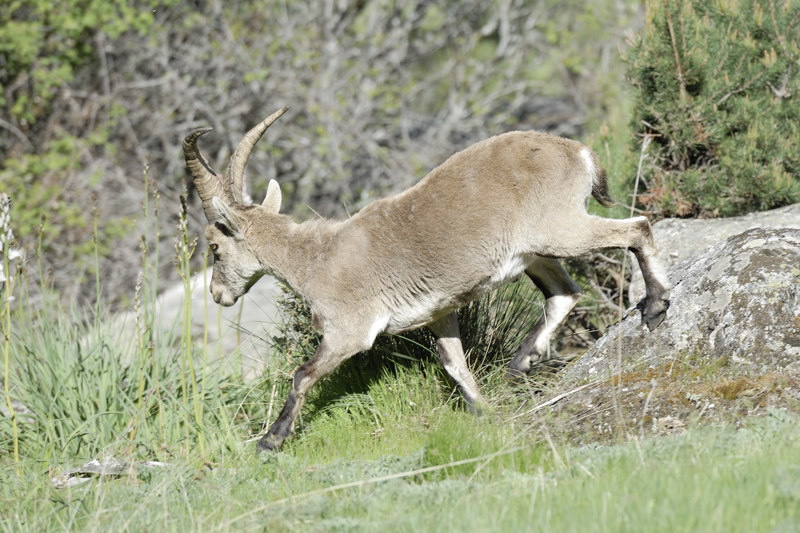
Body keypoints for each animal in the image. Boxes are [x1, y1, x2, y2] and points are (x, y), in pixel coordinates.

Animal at [181, 108, 668, 448]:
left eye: (215, 246)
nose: (218, 294)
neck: (315, 258)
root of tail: (578, 152)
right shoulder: (439, 312)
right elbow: (455, 365)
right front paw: (486, 414)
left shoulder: (349, 330)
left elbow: (303, 374)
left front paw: (271, 439)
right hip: (537, 250)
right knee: (565, 292)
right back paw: (521, 363)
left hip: (559, 229)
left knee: (638, 227)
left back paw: (656, 306)